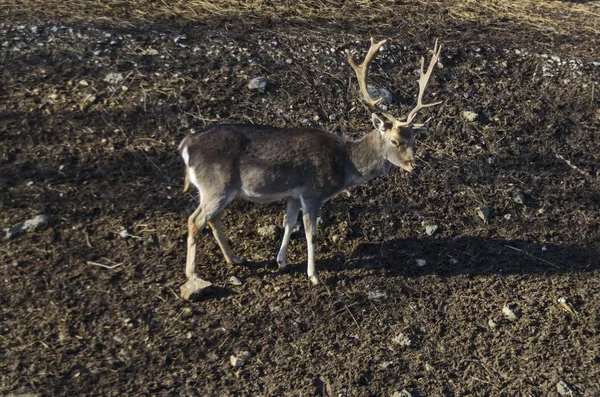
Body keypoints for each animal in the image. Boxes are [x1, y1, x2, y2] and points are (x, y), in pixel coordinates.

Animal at [178, 38, 440, 296]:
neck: (345, 164)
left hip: (219, 190)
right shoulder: (313, 193)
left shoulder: (294, 194)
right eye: (395, 141)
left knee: (213, 219)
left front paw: (281, 261)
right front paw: (313, 276)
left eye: (413, 140)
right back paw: (193, 275)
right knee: (195, 220)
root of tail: (186, 144)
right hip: (216, 186)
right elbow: (310, 233)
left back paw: (234, 259)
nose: (413, 164)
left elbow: (288, 223)